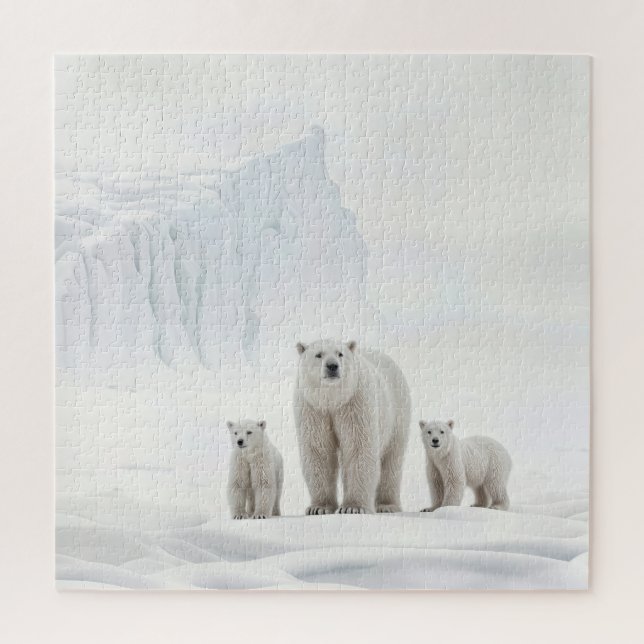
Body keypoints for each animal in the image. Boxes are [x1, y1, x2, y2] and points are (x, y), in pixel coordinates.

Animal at [293, 339, 411, 515]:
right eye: (318, 354)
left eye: (340, 354)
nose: (332, 366)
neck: (333, 400)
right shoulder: (313, 409)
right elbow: (319, 451)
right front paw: (319, 507)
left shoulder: (355, 403)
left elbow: (358, 448)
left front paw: (353, 507)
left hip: (397, 413)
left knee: (391, 459)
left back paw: (387, 505)